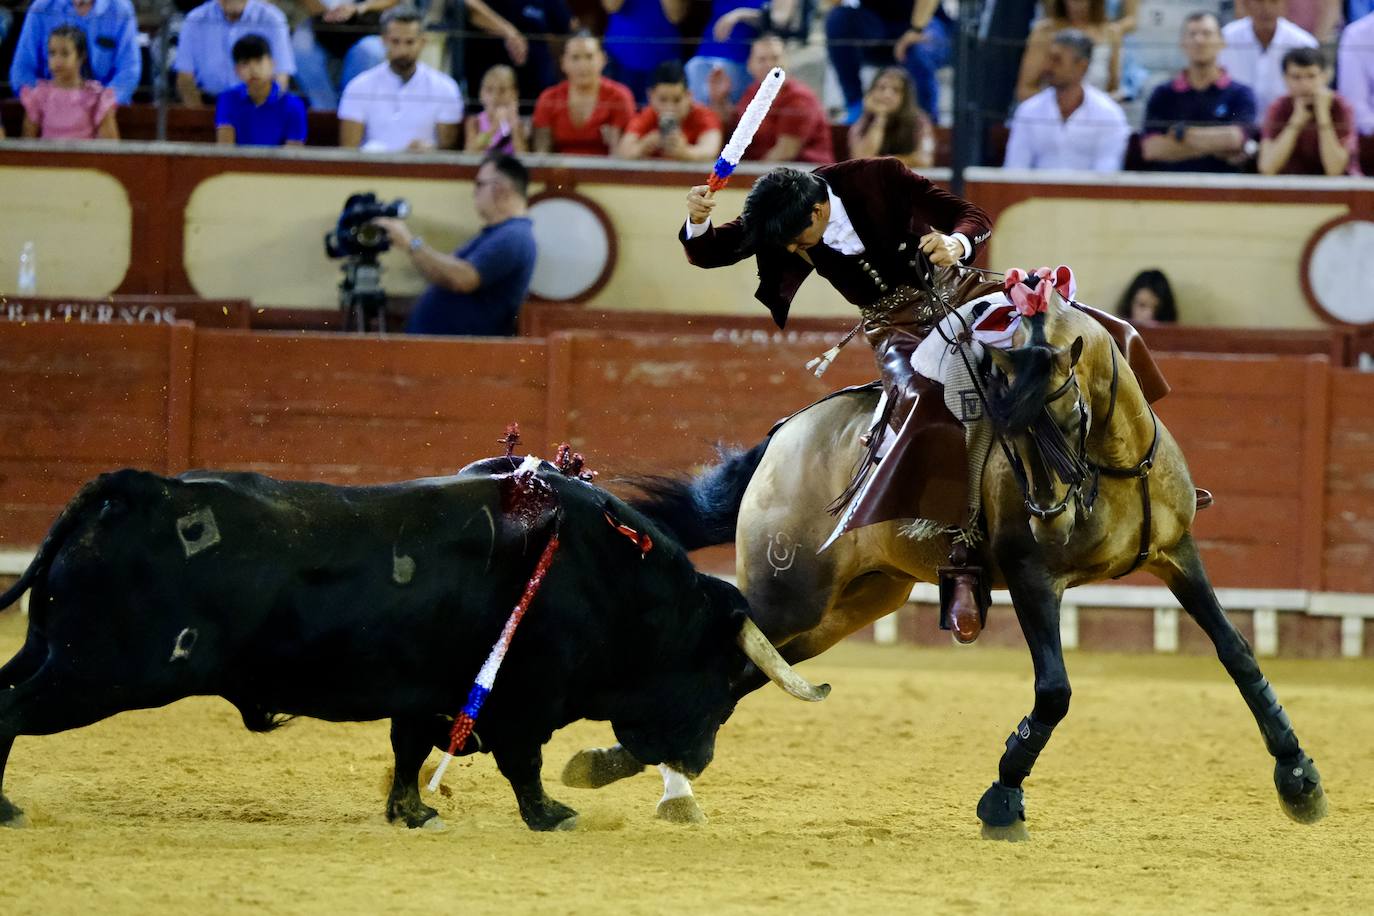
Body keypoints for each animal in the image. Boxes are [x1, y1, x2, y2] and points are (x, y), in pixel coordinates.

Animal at [563, 270, 1324, 840]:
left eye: (1065, 410)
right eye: (1005, 428)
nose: (1051, 515)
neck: (1109, 465)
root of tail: (784, 437)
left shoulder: (1177, 554)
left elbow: (1237, 653)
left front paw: (1298, 778)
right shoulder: (1033, 576)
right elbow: (1054, 690)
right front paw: (1003, 797)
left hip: (848, 607)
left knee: (742, 673)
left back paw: (623, 766)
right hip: (789, 596)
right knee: (716, 657)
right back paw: (661, 783)